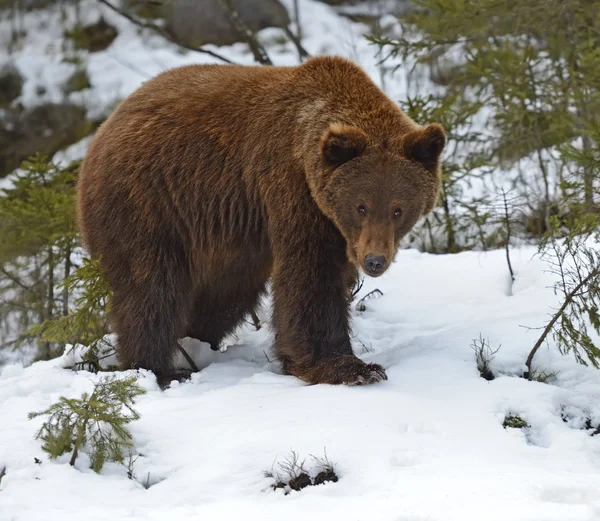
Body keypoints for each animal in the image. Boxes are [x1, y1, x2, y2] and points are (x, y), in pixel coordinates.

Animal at [76, 55, 446, 386]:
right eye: (361, 206)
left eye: (398, 209)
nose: (374, 261)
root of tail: (103, 129)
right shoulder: (292, 190)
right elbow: (311, 276)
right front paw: (350, 367)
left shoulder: (326, 221)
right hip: (147, 201)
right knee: (151, 287)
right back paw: (159, 368)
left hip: (227, 242)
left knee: (223, 297)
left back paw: (194, 344)